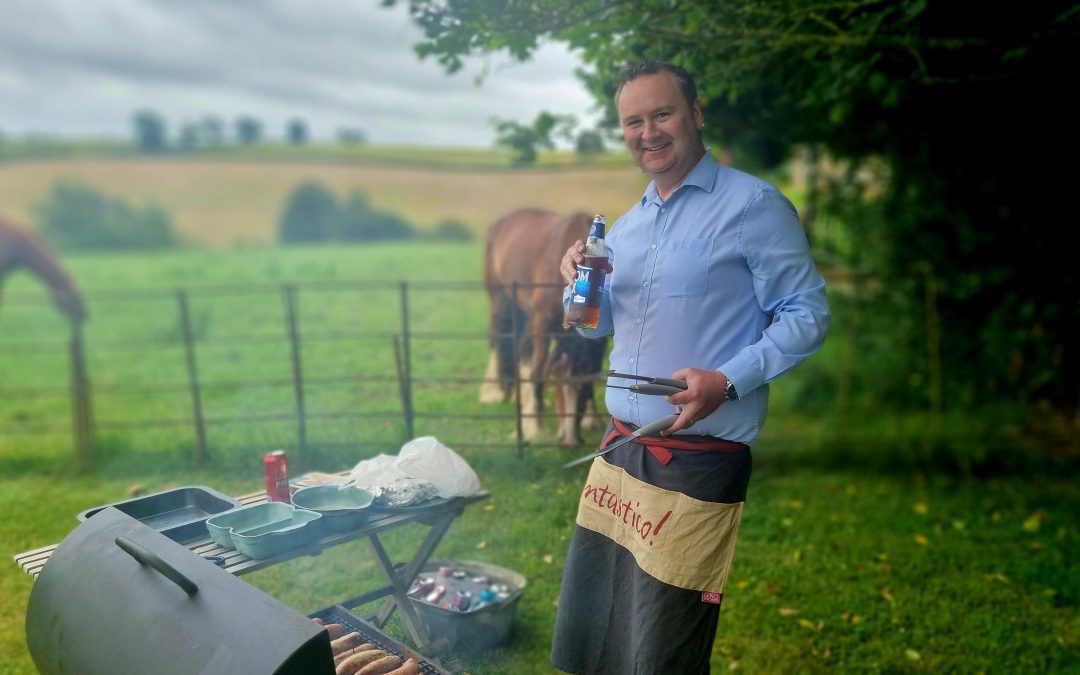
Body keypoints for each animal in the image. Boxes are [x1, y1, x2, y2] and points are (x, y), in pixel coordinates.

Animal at [481, 208, 609, 444]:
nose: (570, 440)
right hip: (500, 299)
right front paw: (534, 427)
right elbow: (538, 371)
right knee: (498, 339)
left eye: (584, 385)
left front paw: (591, 419)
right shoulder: (542, 321)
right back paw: (493, 391)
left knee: (520, 350)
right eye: (557, 376)